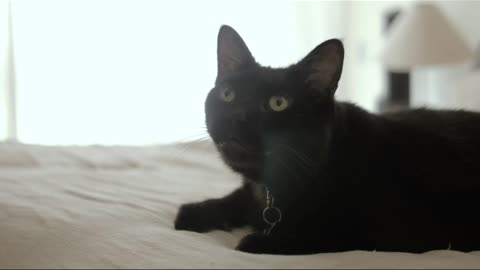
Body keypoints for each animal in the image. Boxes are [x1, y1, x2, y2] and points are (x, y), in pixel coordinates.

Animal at [174, 25, 480, 255]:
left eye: (278, 103)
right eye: (228, 94)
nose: (236, 117)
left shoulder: (393, 230)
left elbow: (323, 232)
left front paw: (261, 240)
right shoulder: (252, 192)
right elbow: (237, 199)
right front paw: (195, 212)